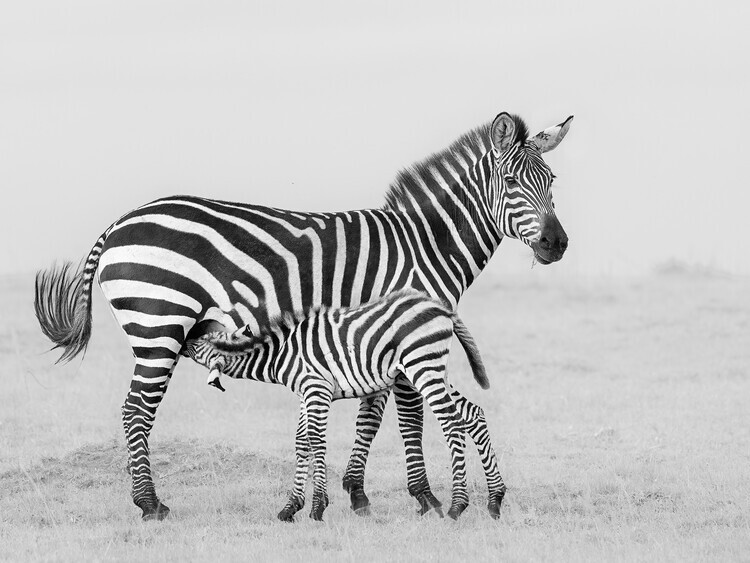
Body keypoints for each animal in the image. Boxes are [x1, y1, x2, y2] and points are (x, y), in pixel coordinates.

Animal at [184, 289, 492, 521]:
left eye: (198, 344)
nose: (185, 335)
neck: (281, 354)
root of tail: (439, 307)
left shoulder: (316, 388)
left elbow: (316, 441)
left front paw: (317, 507)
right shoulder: (306, 392)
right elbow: (301, 442)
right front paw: (290, 508)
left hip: (423, 368)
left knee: (452, 423)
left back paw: (457, 506)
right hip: (433, 370)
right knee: (472, 413)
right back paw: (495, 501)